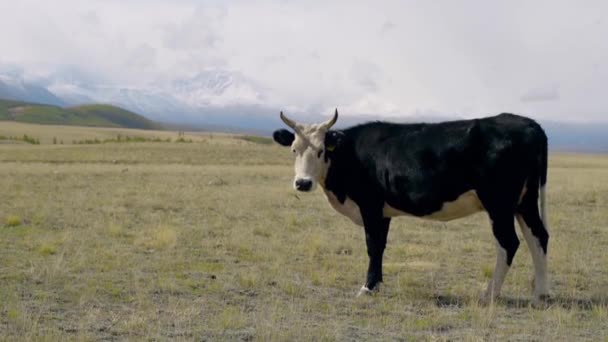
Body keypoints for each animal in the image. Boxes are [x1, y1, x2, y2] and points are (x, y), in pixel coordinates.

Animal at [274, 109, 548, 304]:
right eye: (294, 149)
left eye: (321, 151)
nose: (303, 183)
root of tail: (529, 123)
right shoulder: (383, 212)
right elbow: (381, 246)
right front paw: (377, 284)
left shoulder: (370, 206)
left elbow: (372, 246)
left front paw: (366, 288)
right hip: (524, 202)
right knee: (539, 237)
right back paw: (540, 295)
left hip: (499, 204)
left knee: (509, 242)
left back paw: (489, 294)